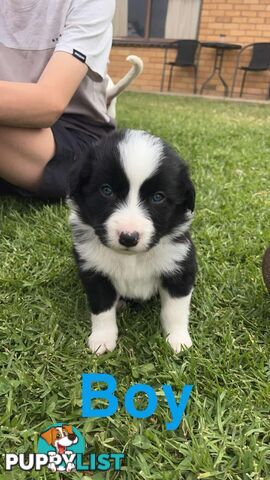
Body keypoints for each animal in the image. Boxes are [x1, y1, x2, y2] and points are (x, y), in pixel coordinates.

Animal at [69, 129, 196, 354]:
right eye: (106, 190)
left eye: (158, 197)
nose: (128, 237)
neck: (131, 258)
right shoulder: (94, 271)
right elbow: (102, 308)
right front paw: (102, 340)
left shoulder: (179, 267)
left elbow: (175, 310)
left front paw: (178, 340)